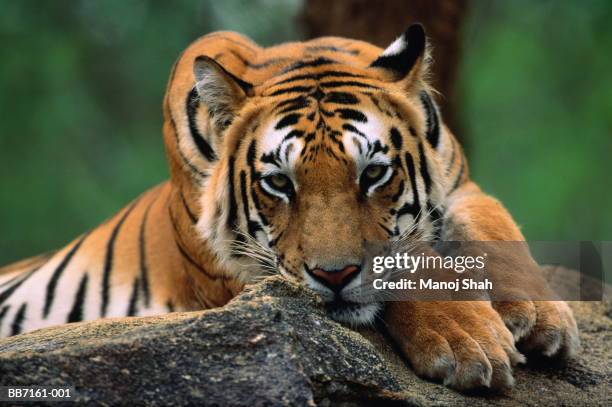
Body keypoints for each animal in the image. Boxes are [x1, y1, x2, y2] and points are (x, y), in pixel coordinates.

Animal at [0, 24, 580, 392]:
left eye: (372, 174)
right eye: (279, 183)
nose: (335, 275)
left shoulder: (461, 186)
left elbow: (493, 224)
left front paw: (539, 314)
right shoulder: (236, 273)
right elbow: (408, 266)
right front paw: (472, 343)